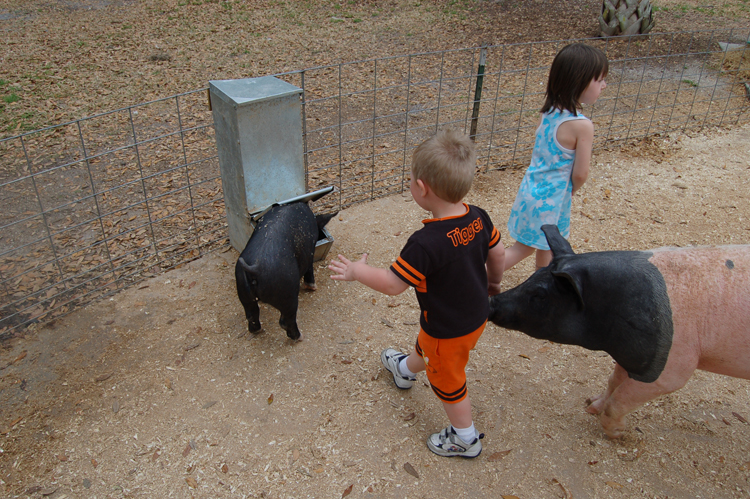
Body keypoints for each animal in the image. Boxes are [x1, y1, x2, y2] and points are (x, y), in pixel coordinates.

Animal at [236, 201, 336, 342]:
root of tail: (255, 268)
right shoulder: (309, 251)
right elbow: (309, 269)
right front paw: (313, 288)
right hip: (288, 291)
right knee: (286, 320)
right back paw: (300, 337)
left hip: (243, 289)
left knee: (251, 314)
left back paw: (257, 331)